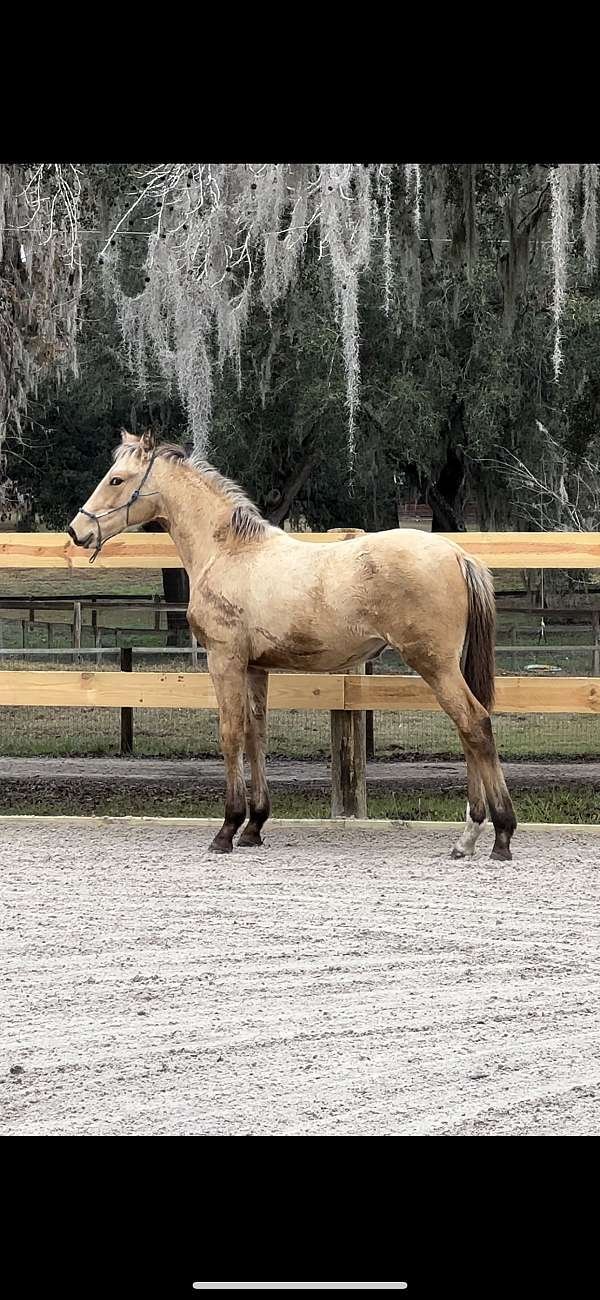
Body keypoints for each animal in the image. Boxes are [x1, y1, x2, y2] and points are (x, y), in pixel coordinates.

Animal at [66, 434, 516, 863]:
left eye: (116, 479)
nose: (76, 531)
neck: (228, 551)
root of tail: (457, 554)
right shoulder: (255, 668)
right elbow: (255, 734)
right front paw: (253, 827)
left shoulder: (224, 660)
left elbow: (230, 733)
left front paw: (227, 829)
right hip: (446, 667)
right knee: (467, 729)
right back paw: (470, 838)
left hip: (434, 665)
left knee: (475, 724)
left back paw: (499, 835)